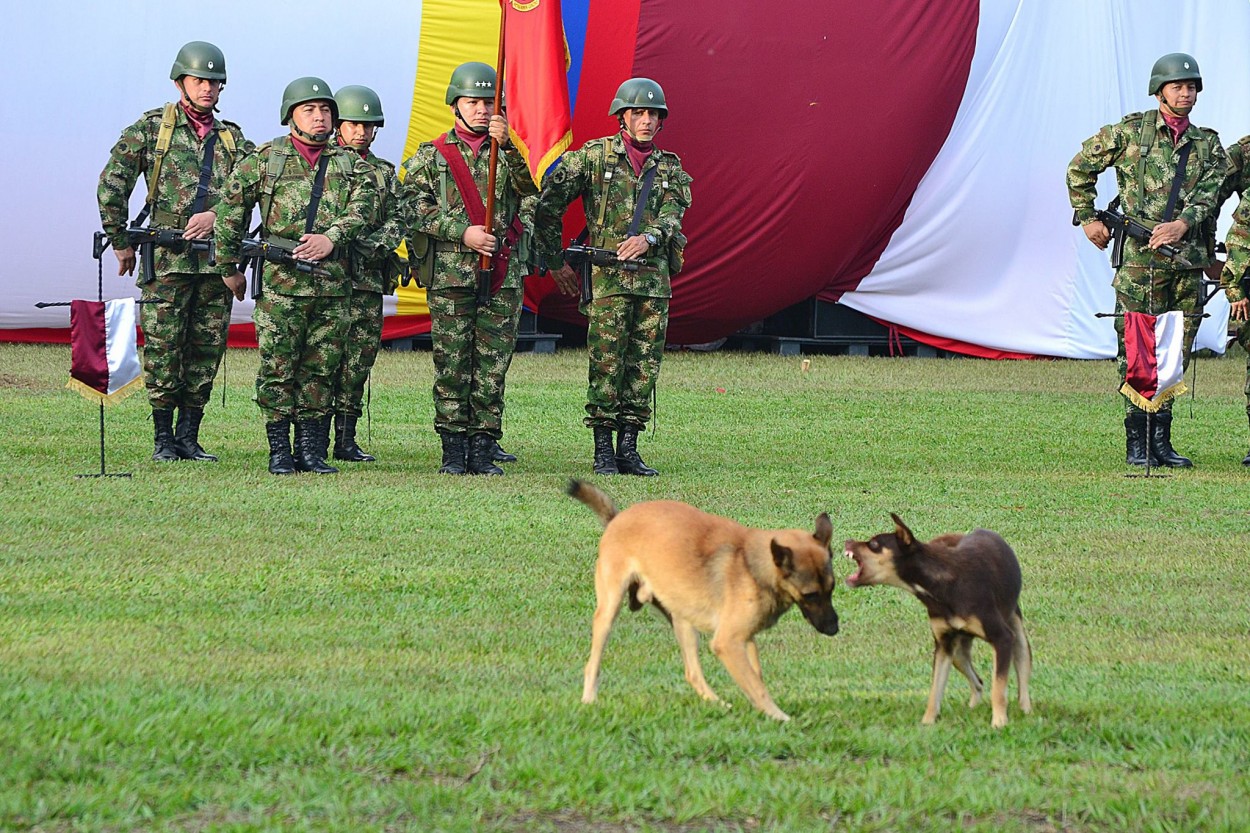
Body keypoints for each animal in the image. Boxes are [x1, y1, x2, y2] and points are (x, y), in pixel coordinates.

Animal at [567, 477, 840, 715]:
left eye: (832, 588)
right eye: (810, 595)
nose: (833, 628)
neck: (753, 565)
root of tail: (617, 518)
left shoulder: (744, 637)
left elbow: (755, 677)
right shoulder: (728, 642)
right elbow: (757, 686)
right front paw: (778, 717)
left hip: (682, 620)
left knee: (693, 673)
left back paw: (718, 704)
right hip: (609, 610)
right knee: (593, 664)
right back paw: (589, 700)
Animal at [845, 512, 1030, 725]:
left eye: (874, 544)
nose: (846, 541)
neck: (940, 583)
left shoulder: (1002, 638)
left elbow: (998, 688)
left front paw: (999, 723)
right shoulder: (943, 645)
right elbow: (935, 690)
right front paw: (928, 722)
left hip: (1017, 636)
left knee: (1022, 678)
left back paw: (1026, 710)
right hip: (957, 652)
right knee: (978, 682)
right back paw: (972, 708)